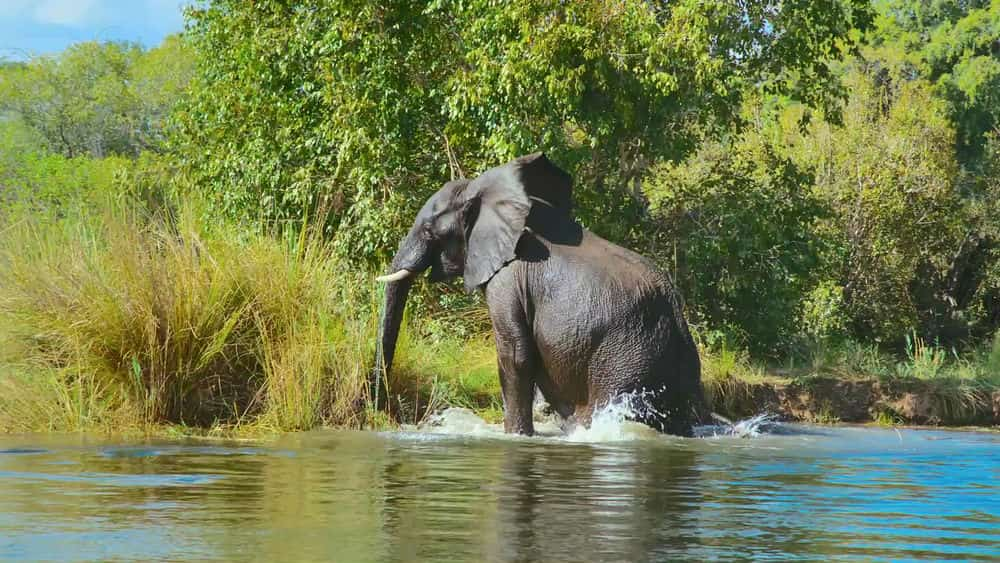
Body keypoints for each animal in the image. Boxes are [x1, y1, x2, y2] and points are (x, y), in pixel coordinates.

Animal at [374, 153, 704, 436]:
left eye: (429, 231)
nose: (382, 409)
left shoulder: (508, 280)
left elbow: (515, 355)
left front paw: (516, 435)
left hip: (626, 358)